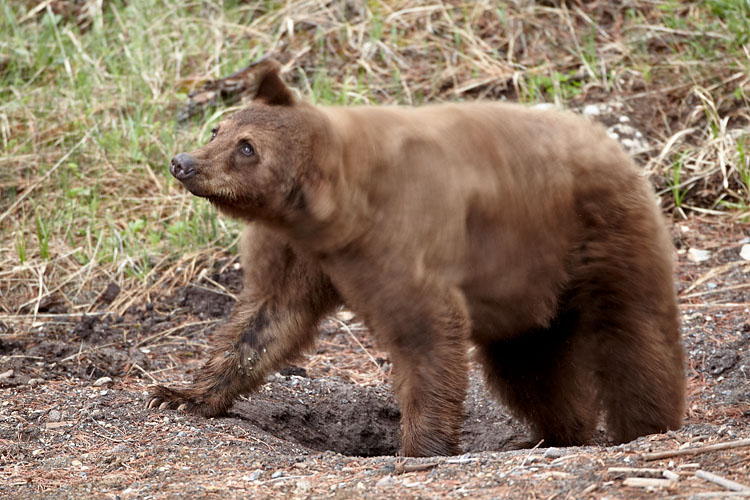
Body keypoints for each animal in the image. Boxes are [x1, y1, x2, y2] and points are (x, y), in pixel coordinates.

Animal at [150, 58, 692, 458]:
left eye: (247, 148)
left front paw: (420, 447)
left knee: (631, 337)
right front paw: (178, 395)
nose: (183, 163)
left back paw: (646, 426)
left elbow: (427, 333)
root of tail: (609, 139)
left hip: (597, 237)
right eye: (218, 129)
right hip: (522, 288)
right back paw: (552, 434)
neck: (324, 215)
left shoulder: (397, 239)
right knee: (529, 366)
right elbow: (264, 321)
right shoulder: (294, 251)